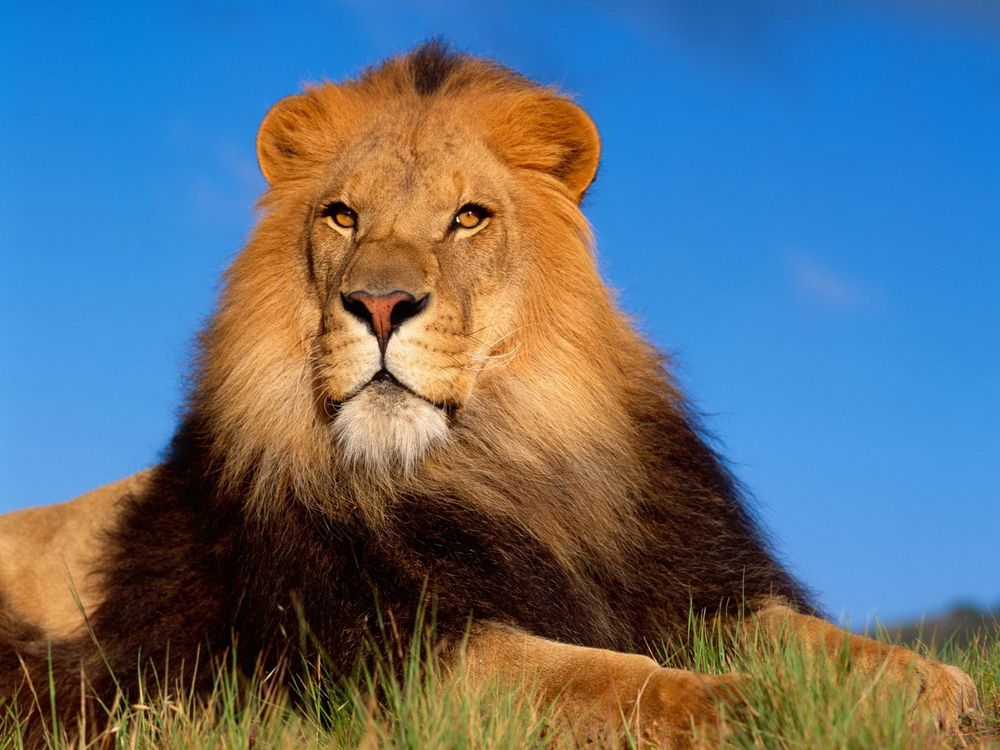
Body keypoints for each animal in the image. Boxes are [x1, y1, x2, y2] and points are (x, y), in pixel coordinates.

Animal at [0, 42, 979, 747]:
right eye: (342, 216)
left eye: (468, 217)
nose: (380, 303)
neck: (498, 462)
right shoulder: (392, 654)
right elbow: (608, 679)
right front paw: (742, 707)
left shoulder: (684, 582)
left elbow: (800, 634)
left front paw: (921, 681)